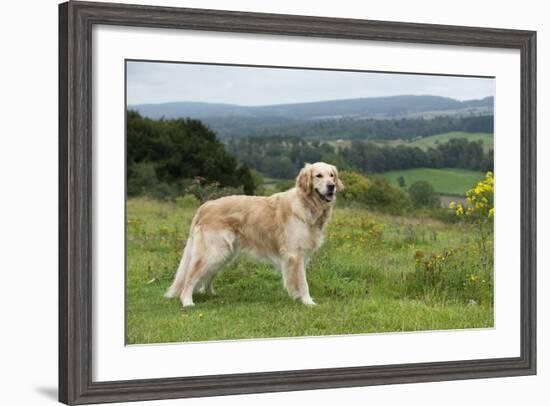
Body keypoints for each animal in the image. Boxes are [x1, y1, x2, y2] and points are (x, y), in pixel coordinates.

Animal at [164, 163, 344, 306]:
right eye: (318, 175)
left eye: (332, 175)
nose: (331, 186)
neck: (307, 205)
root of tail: (204, 206)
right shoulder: (294, 255)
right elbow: (303, 282)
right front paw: (308, 302)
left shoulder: (301, 256)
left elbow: (297, 281)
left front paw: (298, 298)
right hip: (214, 252)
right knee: (190, 276)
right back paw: (187, 302)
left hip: (224, 254)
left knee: (206, 278)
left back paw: (211, 295)